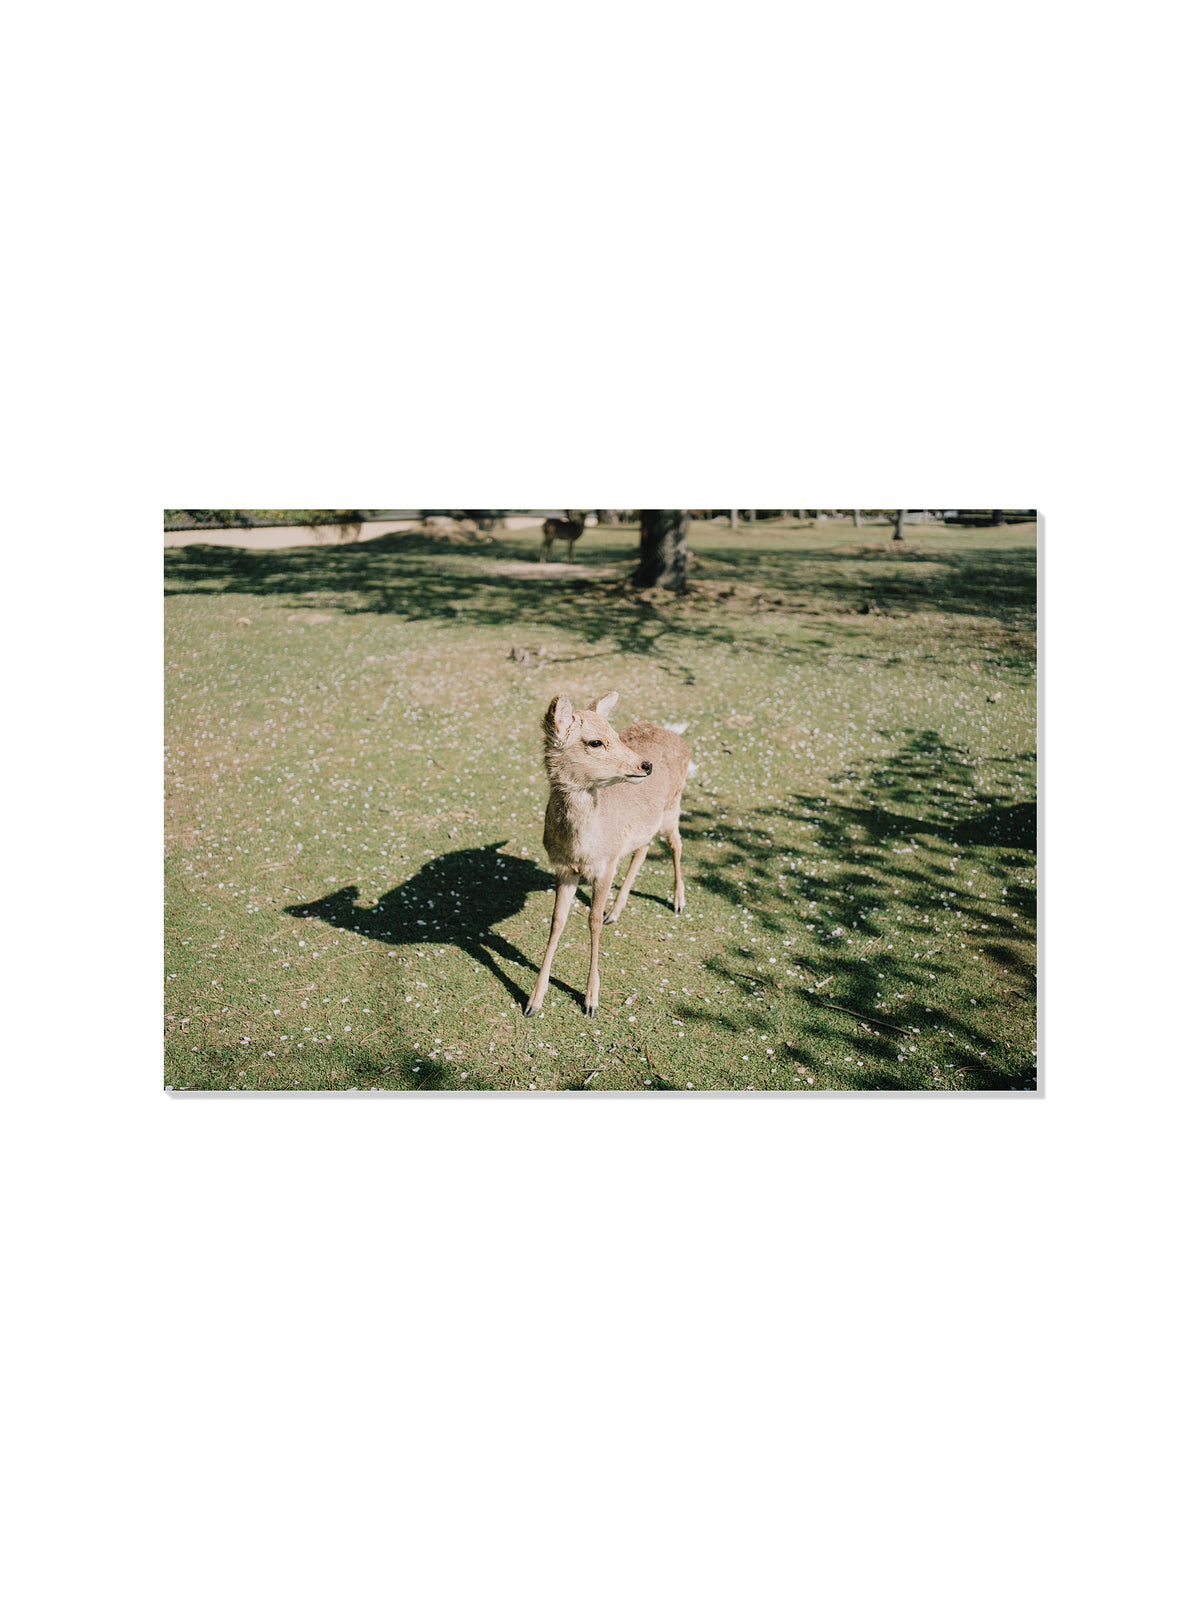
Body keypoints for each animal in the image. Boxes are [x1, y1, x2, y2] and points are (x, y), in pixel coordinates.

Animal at [525, 691, 693, 1017]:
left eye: (615, 734)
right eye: (595, 742)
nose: (645, 765)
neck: (581, 848)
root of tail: (678, 735)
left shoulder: (605, 865)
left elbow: (592, 921)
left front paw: (591, 1000)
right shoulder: (563, 869)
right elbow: (557, 922)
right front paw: (533, 1001)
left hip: (673, 805)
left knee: (676, 843)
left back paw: (678, 901)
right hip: (649, 822)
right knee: (643, 848)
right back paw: (615, 911)